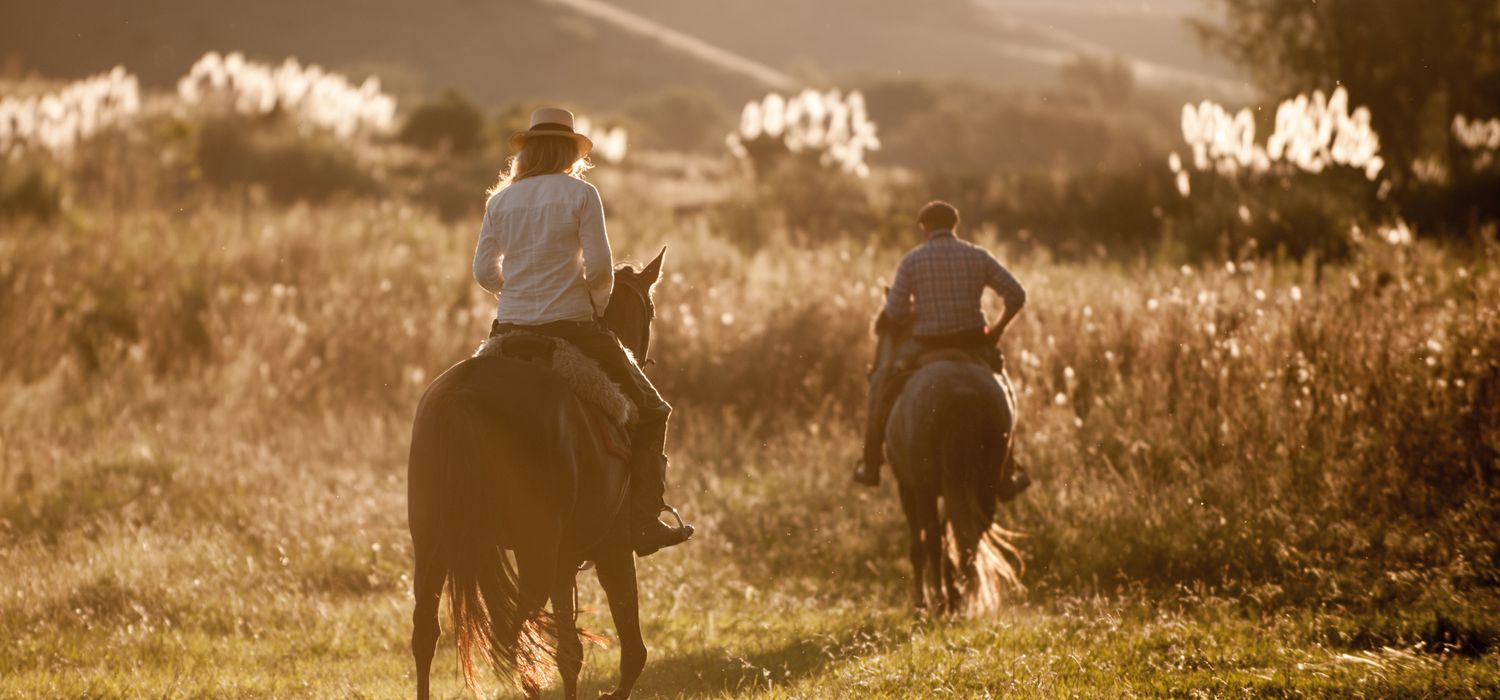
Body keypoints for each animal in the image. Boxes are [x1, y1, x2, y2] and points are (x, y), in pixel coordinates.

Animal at [411, 248, 669, 698]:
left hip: (431, 545)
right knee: (519, 636)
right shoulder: (611, 548)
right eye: (650, 309)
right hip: (538, 554)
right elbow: (626, 650)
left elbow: (569, 652)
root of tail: (463, 395)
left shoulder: (569, 559)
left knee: (428, 635)